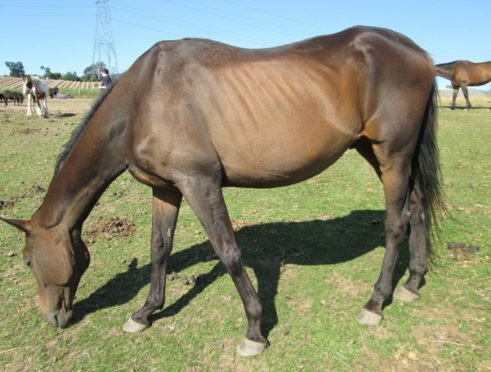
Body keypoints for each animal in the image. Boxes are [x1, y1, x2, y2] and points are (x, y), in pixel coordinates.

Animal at [0, 26, 446, 358]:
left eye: (27, 261)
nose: (53, 318)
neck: (145, 98)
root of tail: (420, 54)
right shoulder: (167, 189)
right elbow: (159, 248)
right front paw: (144, 313)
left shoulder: (200, 183)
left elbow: (229, 252)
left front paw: (254, 330)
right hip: (378, 153)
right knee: (418, 208)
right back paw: (412, 283)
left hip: (392, 154)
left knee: (396, 223)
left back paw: (375, 303)